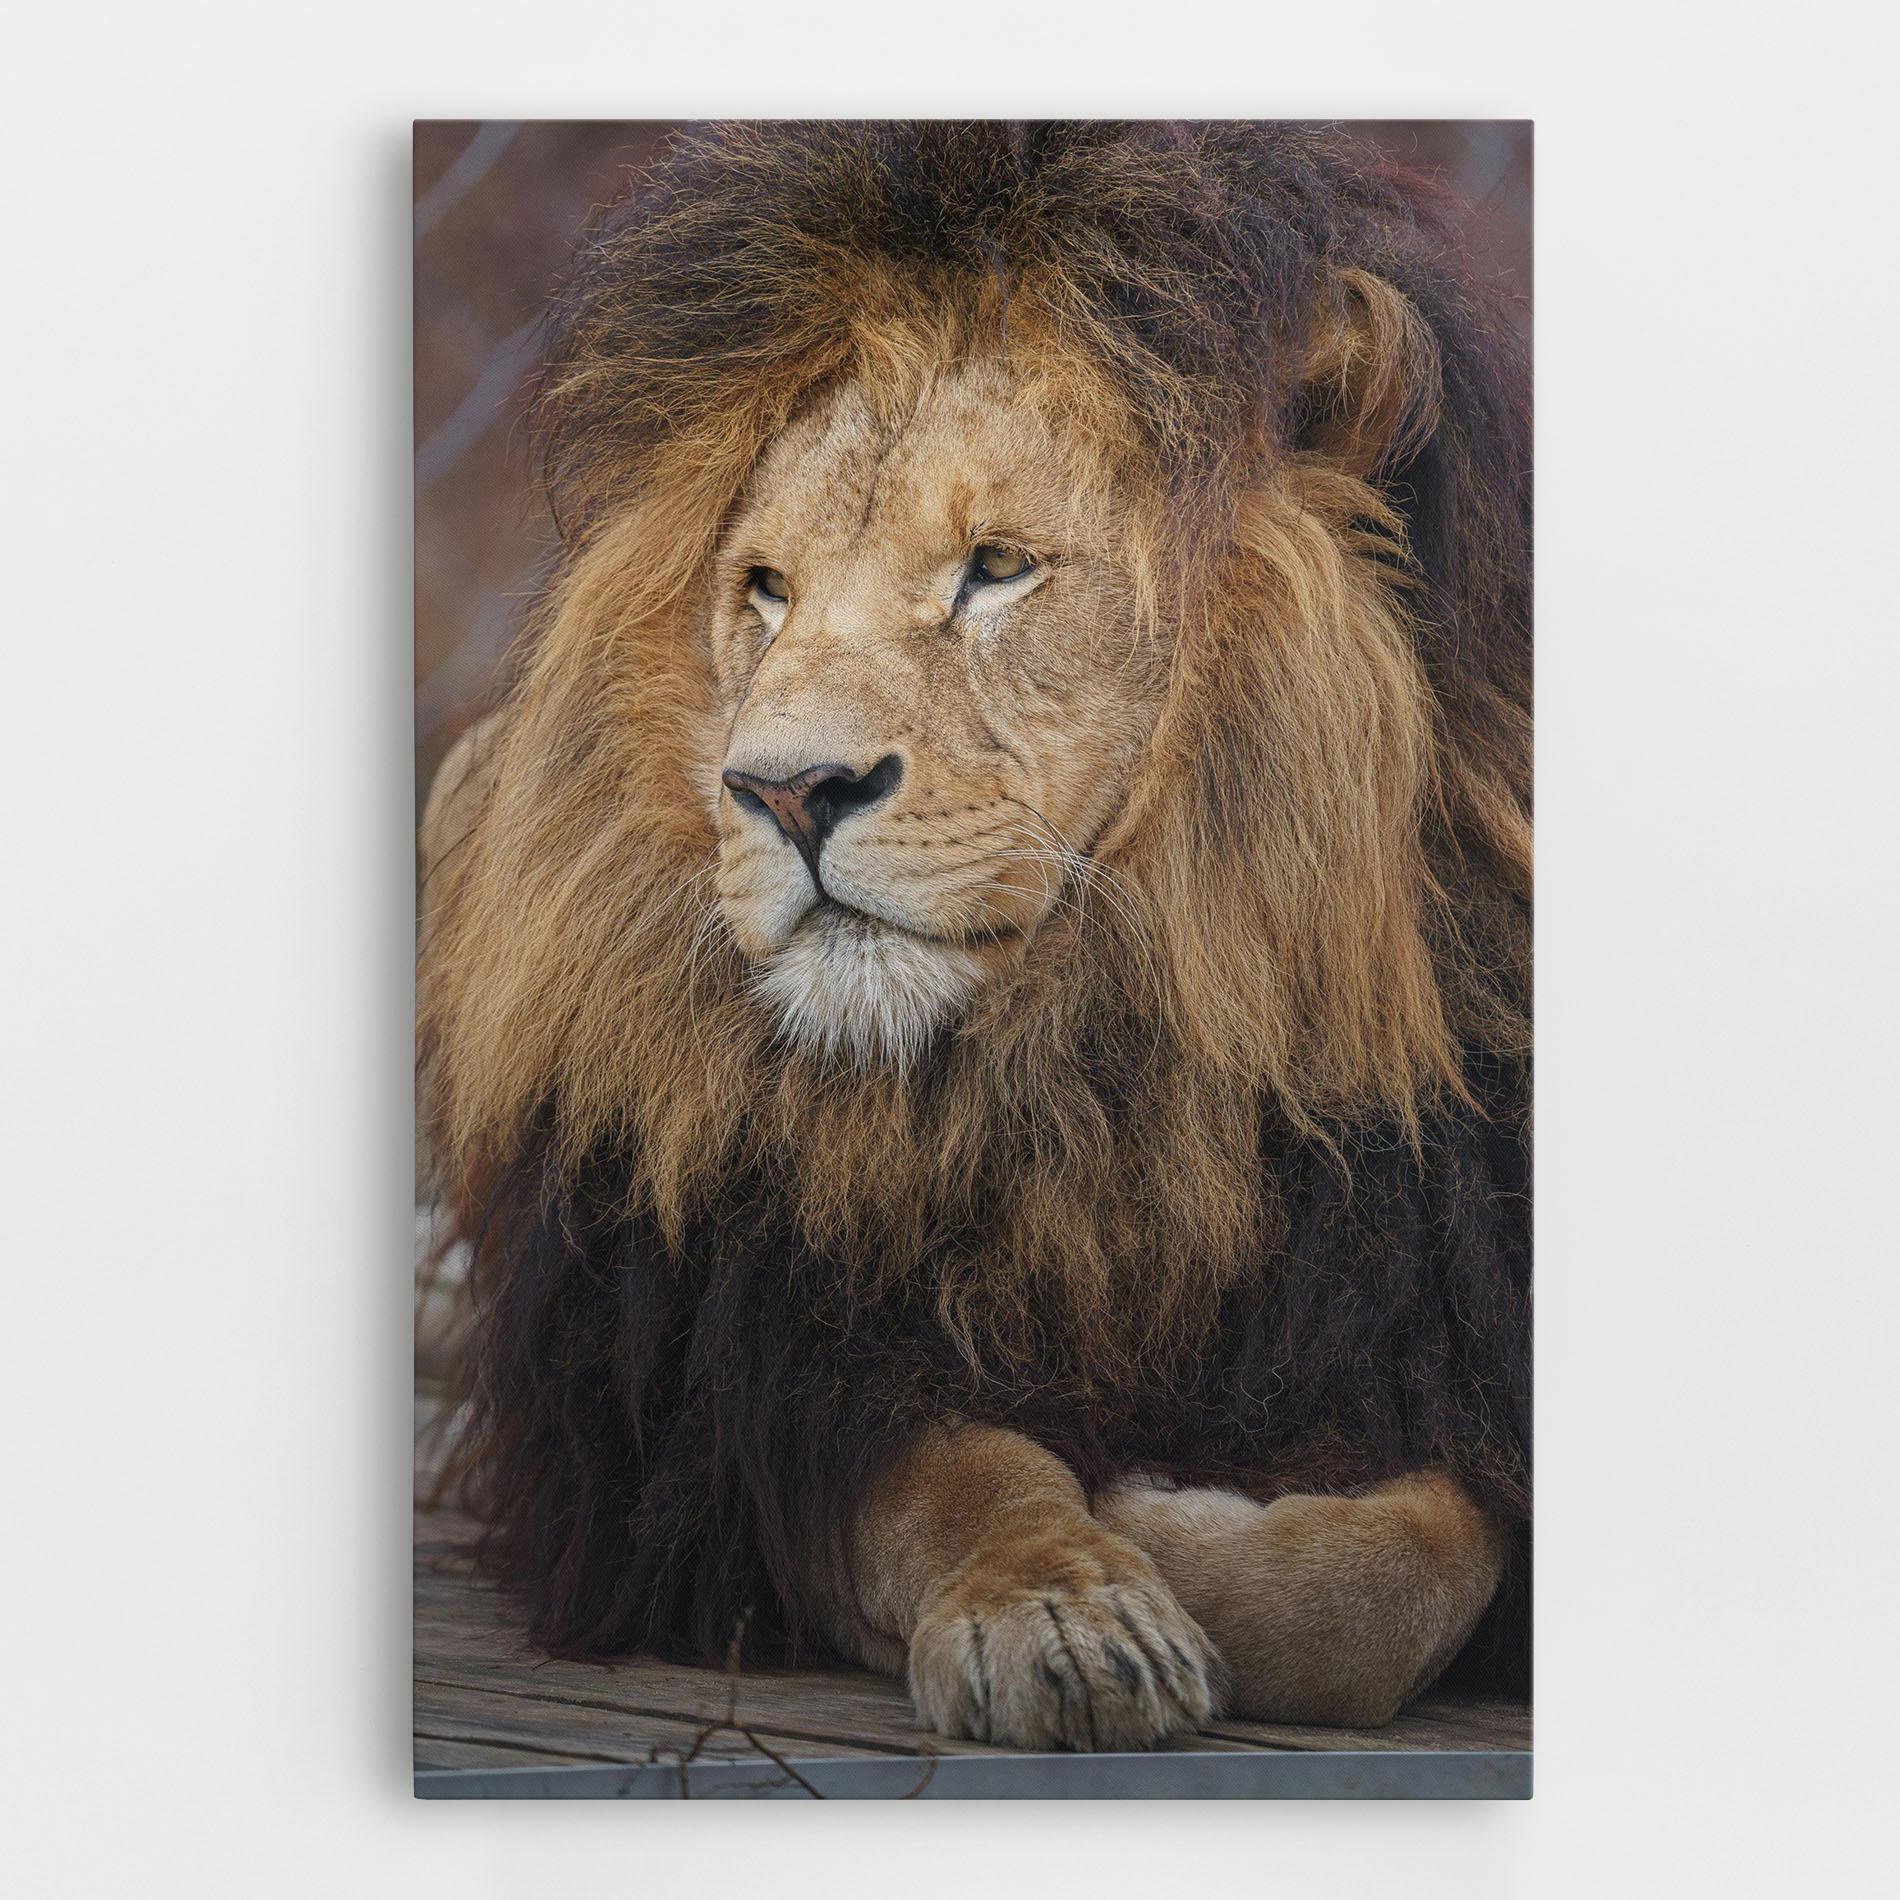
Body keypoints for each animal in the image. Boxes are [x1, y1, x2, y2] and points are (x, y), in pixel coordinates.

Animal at [419, 120, 1531, 1751]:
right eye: (765, 591)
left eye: (998, 567)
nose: (783, 789)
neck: (1094, 1070)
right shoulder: (735, 1404)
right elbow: (956, 1481)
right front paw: (1069, 1605)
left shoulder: (1430, 1326)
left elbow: (1400, 1580)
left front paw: (1175, 1514)